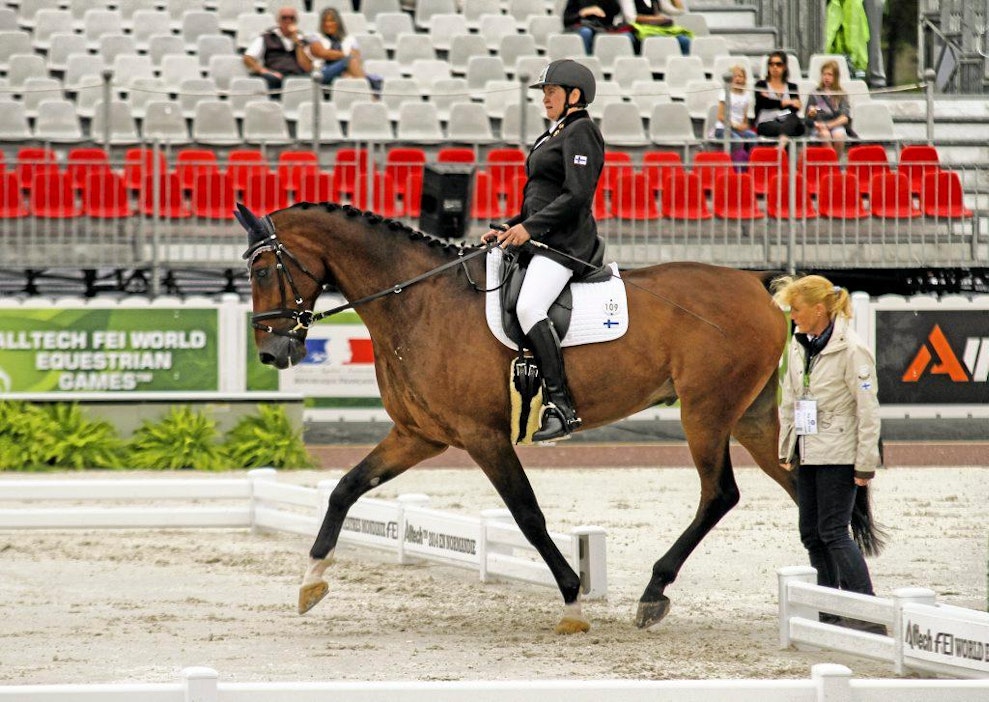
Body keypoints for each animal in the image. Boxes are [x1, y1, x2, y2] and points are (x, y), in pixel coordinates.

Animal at [237, 201, 878, 634]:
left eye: (264, 271)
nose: (272, 353)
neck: (417, 303)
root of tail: (758, 285)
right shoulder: (420, 435)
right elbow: (345, 488)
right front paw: (311, 580)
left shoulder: (483, 438)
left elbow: (527, 515)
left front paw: (571, 599)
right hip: (751, 419)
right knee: (801, 490)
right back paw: (834, 606)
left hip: (706, 412)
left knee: (720, 494)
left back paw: (656, 591)